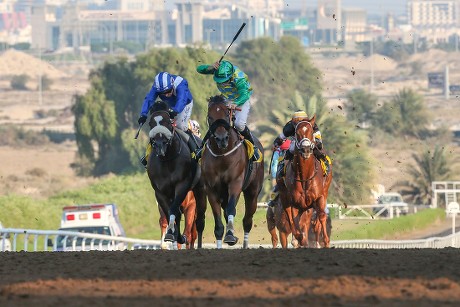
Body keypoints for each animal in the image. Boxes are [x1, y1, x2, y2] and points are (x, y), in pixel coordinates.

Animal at [147, 102, 207, 249]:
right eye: (151, 123)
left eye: (168, 122)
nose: (159, 144)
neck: (167, 160)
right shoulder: (160, 194)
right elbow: (170, 216)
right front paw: (171, 236)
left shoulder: (186, 196)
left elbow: (187, 230)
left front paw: (180, 238)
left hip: (200, 192)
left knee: (199, 224)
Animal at [200, 96, 264, 250]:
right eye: (210, 117)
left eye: (225, 114)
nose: (221, 138)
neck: (222, 155)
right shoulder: (211, 189)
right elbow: (218, 221)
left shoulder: (235, 183)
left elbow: (231, 210)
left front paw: (230, 235)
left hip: (253, 192)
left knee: (247, 220)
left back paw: (245, 244)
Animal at [274, 115, 332, 248]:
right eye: (297, 133)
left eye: (311, 132)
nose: (306, 149)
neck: (305, 175)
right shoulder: (294, 202)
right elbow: (294, 225)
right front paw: (299, 239)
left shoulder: (319, 198)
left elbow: (321, 216)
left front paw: (325, 241)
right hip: (287, 198)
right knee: (291, 217)